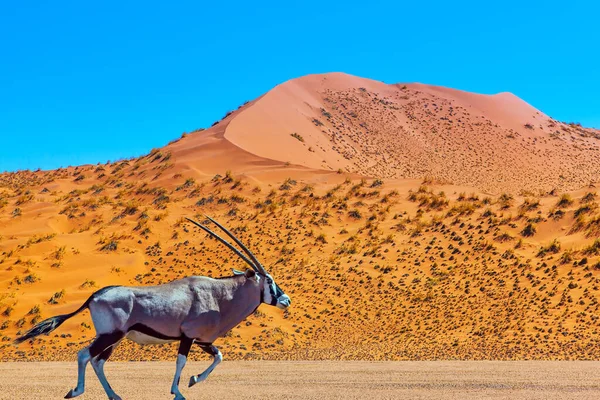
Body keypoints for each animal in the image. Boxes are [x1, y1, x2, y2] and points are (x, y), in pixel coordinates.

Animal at [15, 217, 292, 398]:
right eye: (269, 280)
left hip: (115, 339)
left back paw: (114, 395)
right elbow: (181, 363)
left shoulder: (203, 341)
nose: (286, 300)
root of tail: (95, 295)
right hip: (110, 335)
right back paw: (76, 390)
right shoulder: (189, 337)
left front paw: (193, 381)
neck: (220, 295)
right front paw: (178, 391)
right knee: (85, 355)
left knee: (98, 361)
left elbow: (219, 357)